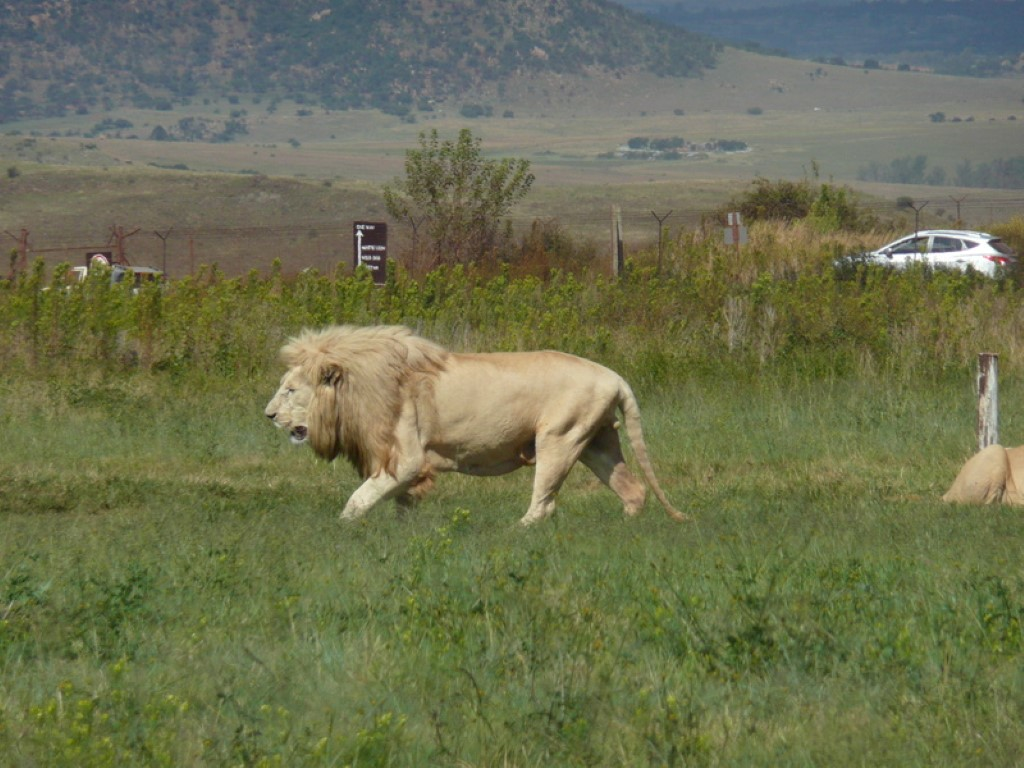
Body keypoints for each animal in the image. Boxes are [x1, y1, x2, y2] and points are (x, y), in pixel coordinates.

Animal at [262, 325, 688, 528]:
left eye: (290, 390)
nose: (268, 415)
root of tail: (614, 376)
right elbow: (399, 504)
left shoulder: (406, 459)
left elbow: (357, 500)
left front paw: (340, 532)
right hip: (597, 442)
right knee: (633, 490)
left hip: (559, 438)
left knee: (544, 504)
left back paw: (512, 533)